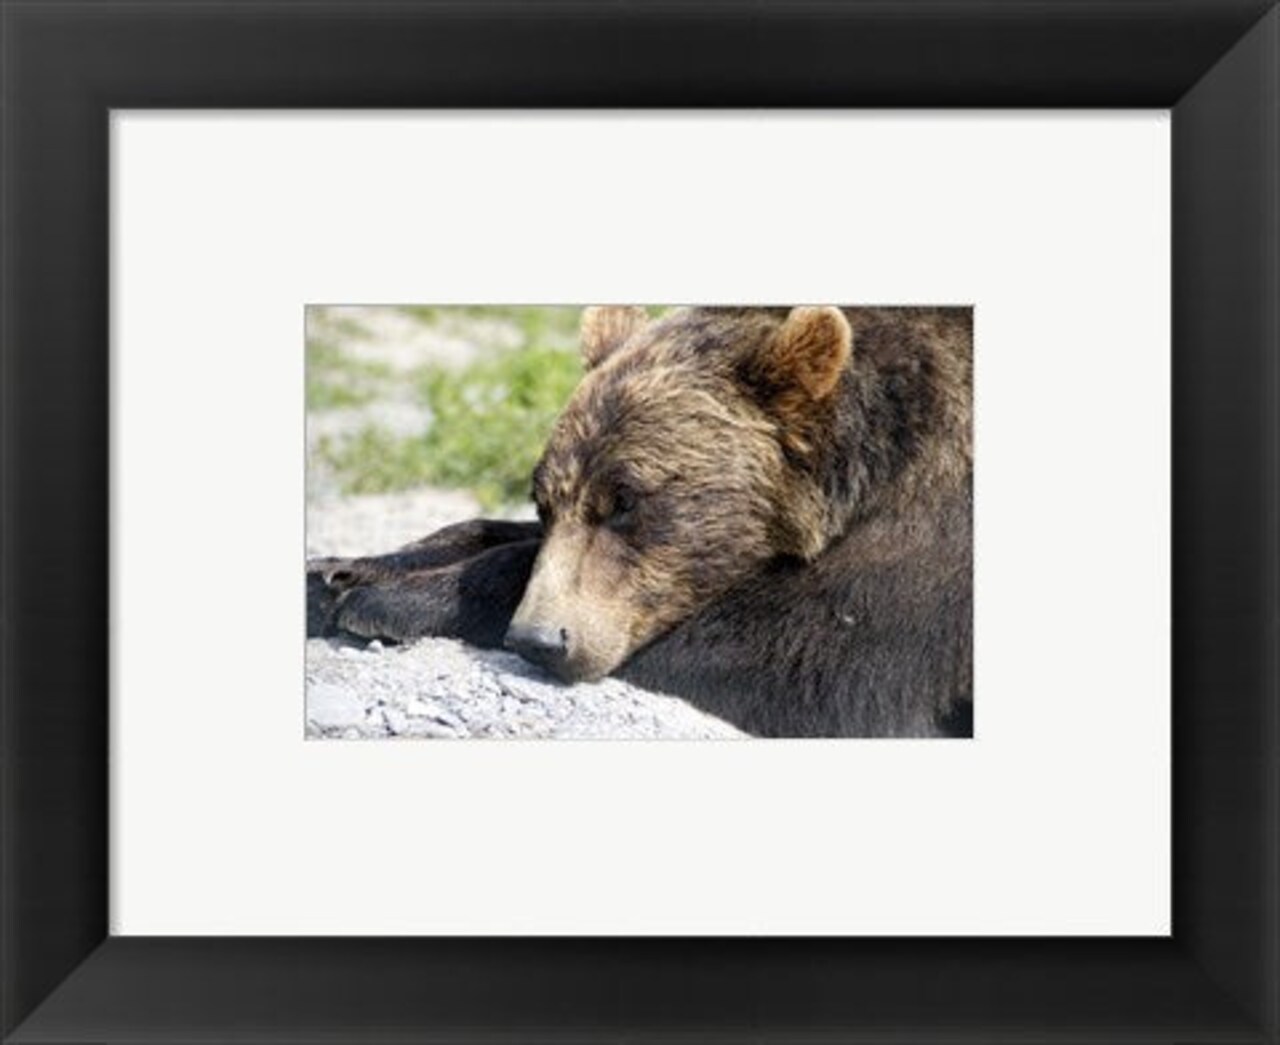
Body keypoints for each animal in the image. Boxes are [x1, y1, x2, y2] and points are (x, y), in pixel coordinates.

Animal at [308, 305, 973, 738]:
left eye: (627, 502)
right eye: (542, 500)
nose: (540, 639)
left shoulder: (931, 535)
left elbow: (804, 656)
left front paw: (390, 599)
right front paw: (335, 574)